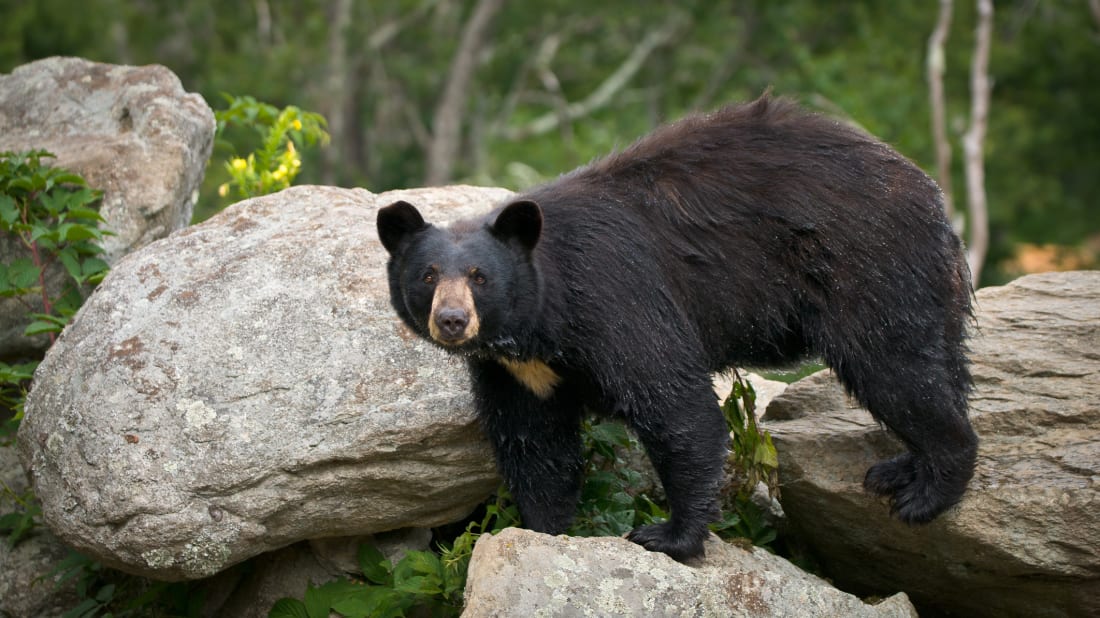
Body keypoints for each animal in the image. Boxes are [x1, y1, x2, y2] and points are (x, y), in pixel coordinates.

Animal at [378, 94, 981, 560]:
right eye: (428, 275)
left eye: (479, 277)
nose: (452, 320)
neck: (541, 323)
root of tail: (932, 196)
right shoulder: (515, 371)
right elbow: (535, 444)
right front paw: (543, 529)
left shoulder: (616, 299)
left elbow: (675, 407)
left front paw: (669, 535)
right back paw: (900, 469)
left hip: (869, 268)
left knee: (895, 369)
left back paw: (926, 491)